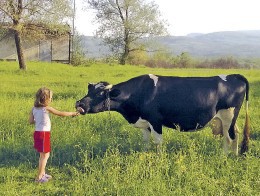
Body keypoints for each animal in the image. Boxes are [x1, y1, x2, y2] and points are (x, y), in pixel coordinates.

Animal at [75, 73, 250, 155]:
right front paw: (145, 155)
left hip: (228, 116)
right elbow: (146, 141)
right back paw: (229, 155)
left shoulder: (155, 121)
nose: (79, 104)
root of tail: (234, 75)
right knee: (233, 134)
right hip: (226, 119)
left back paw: (227, 157)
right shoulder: (145, 123)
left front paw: (159, 159)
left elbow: (158, 142)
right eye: (89, 90)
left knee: (230, 137)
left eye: (100, 94)